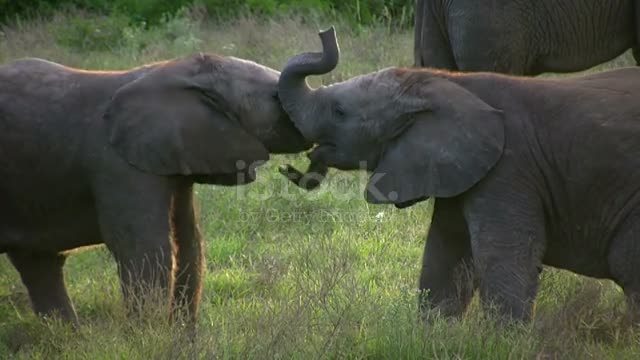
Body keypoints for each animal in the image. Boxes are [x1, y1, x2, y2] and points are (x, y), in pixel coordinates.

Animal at [0, 53, 310, 326]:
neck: (168, 70)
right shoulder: (117, 166)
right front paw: (146, 343)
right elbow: (147, 252)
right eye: (276, 98)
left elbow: (189, 247)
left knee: (40, 265)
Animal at [282, 27, 640, 320]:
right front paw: (433, 335)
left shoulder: (509, 169)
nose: (325, 32)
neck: (439, 82)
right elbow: (445, 254)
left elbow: (503, 260)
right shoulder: (460, 168)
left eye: (339, 112)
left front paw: (504, 344)